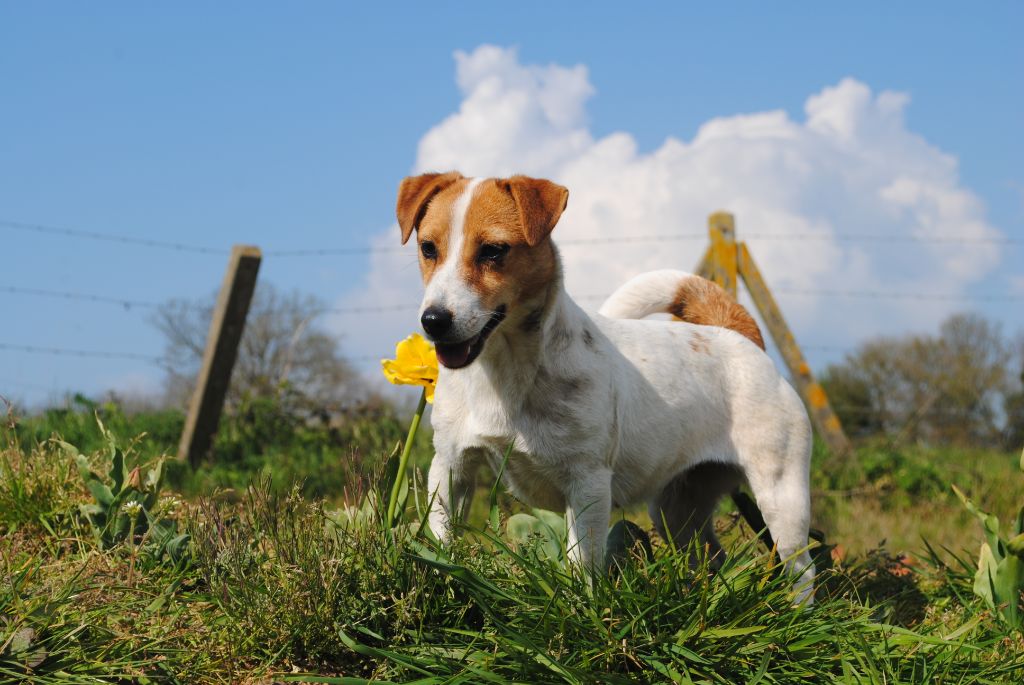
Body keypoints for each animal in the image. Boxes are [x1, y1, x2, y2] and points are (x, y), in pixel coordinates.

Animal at [395, 174, 811, 602]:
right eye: (428, 248)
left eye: (493, 251)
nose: (433, 321)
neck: (503, 374)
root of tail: (739, 335)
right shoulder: (451, 467)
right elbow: (443, 540)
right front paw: (443, 582)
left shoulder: (588, 484)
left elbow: (582, 564)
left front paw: (579, 606)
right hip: (677, 509)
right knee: (712, 556)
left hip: (781, 498)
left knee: (802, 570)